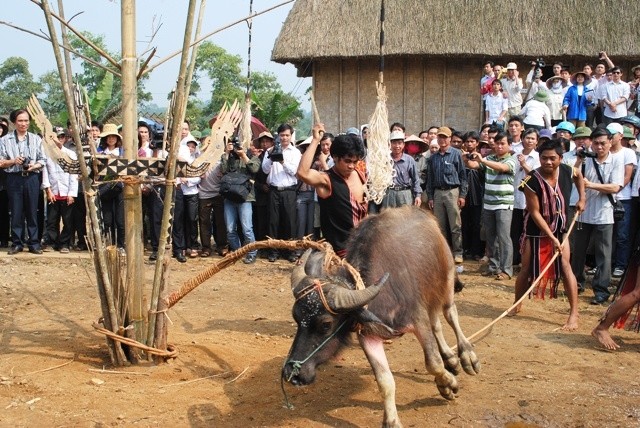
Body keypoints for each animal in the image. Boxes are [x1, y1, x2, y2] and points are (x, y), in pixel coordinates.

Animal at [282, 206, 478, 426]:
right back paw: (451, 359)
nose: (292, 374)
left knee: (450, 314)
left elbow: (433, 362)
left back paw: (467, 355)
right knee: (436, 322)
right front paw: (392, 420)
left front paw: (448, 385)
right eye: (296, 317)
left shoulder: (418, 320)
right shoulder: (368, 335)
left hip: (446, 280)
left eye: (325, 324)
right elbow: (384, 380)